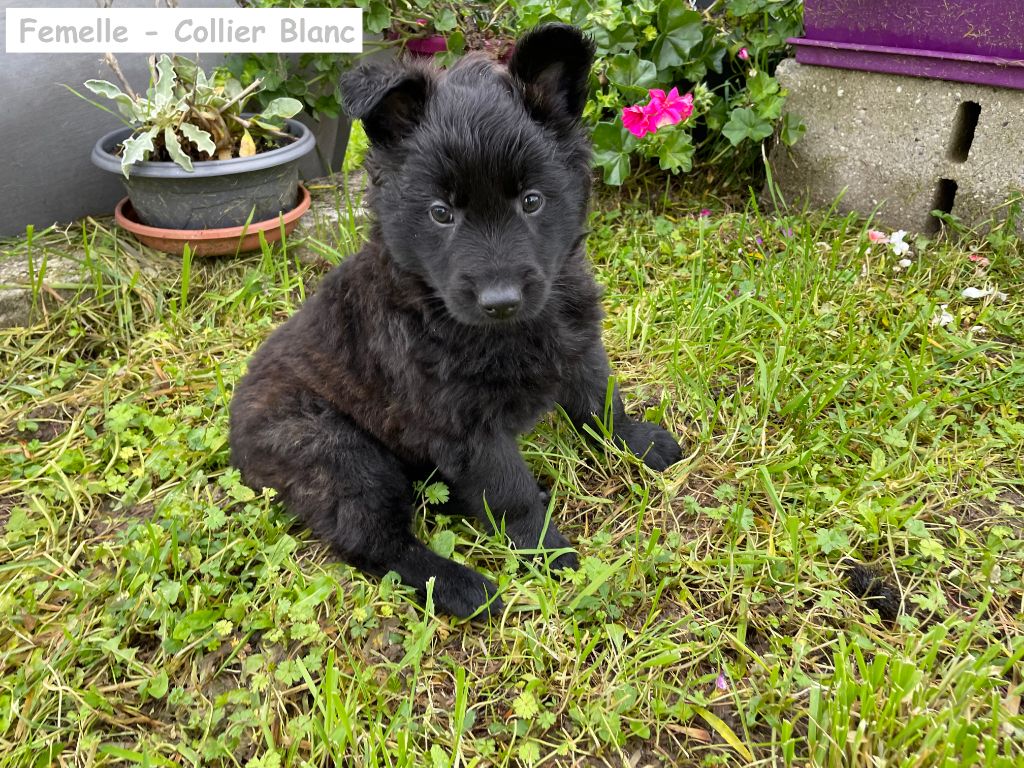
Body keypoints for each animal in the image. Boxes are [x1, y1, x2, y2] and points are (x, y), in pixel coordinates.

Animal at [228, 24, 682, 619]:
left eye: (532, 201)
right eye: (441, 213)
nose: (500, 299)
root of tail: (237, 445)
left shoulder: (579, 346)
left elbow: (600, 404)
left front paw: (640, 444)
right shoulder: (466, 427)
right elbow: (509, 492)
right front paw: (547, 551)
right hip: (342, 459)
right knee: (376, 544)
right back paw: (462, 586)